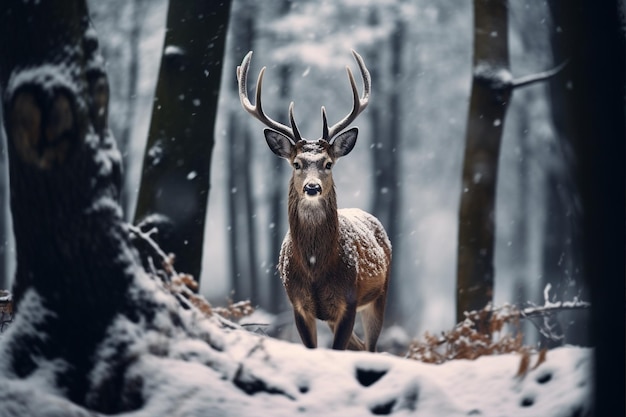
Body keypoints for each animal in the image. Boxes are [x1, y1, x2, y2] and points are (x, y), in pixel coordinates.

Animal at [235, 51, 390, 352]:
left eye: (328, 163)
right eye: (296, 163)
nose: (312, 187)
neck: (316, 268)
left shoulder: (349, 301)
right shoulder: (298, 305)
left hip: (381, 294)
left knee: (370, 346)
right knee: (360, 346)